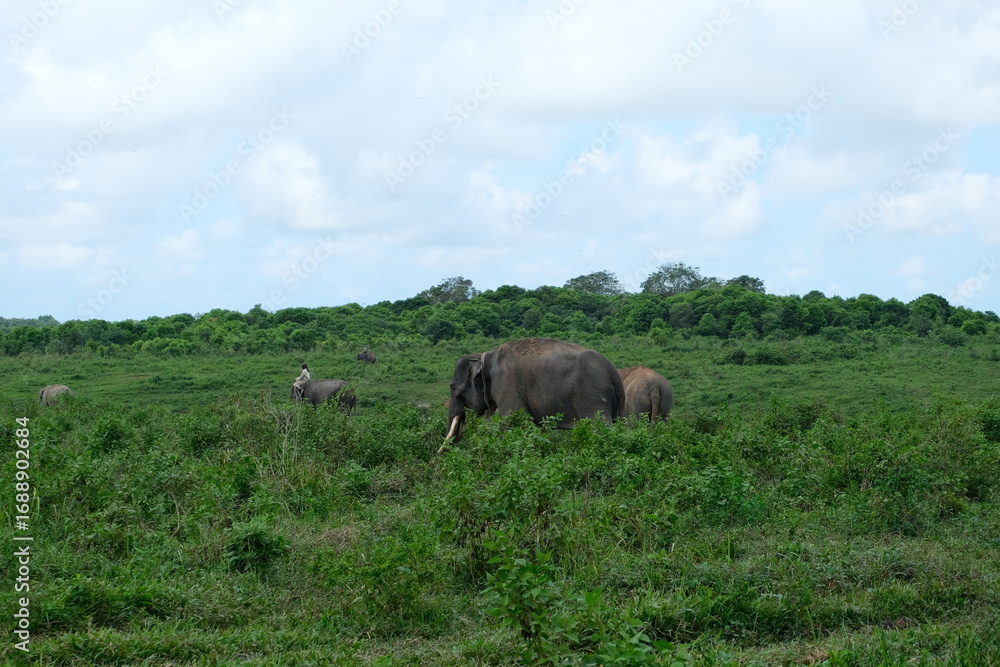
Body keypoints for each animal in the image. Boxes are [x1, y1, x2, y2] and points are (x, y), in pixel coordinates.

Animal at [443, 337, 624, 450]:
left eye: (452, 388)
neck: (485, 355)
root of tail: (613, 373)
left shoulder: (506, 383)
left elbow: (511, 418)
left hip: (592, 395)